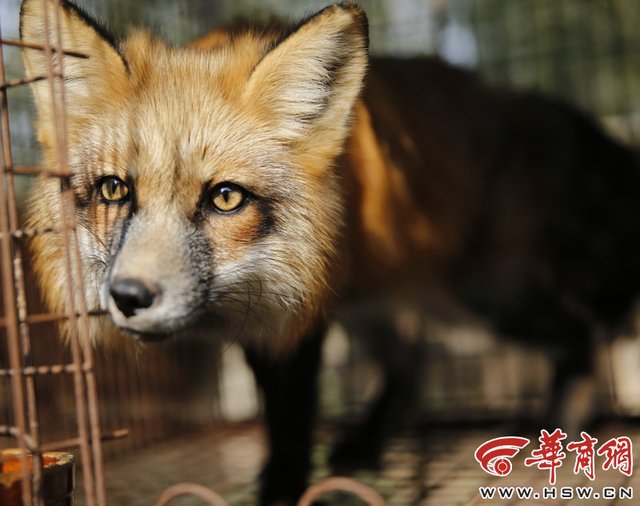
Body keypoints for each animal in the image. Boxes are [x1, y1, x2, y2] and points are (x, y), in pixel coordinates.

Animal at [19, 0, 640, 504]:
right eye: (114, 190)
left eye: (225, 198)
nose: (129, 296)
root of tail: (508, 97)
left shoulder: (296, 307)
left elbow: (291, 415)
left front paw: (282, 488)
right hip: (373, 301)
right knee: (414, 365)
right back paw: (366, 443)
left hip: (485, 297)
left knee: (581, 337)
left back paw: (554, 432)